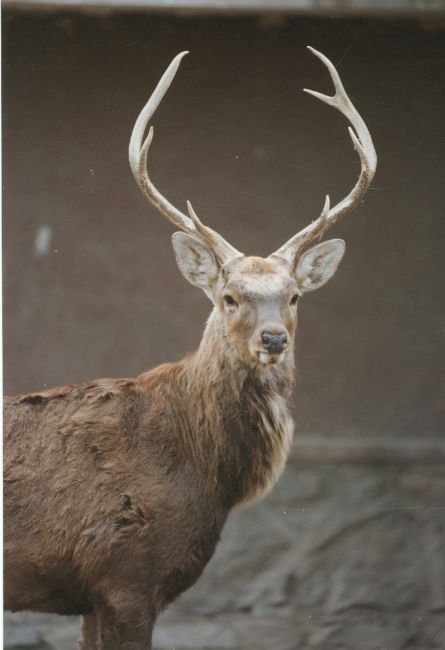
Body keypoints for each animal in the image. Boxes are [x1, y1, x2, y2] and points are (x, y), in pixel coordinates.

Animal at [4, 47, 376, 649]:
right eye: (229, 296)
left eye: (294, 295)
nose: (273, 337)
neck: (202, 470)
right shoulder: (125, 572)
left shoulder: (95, 595)